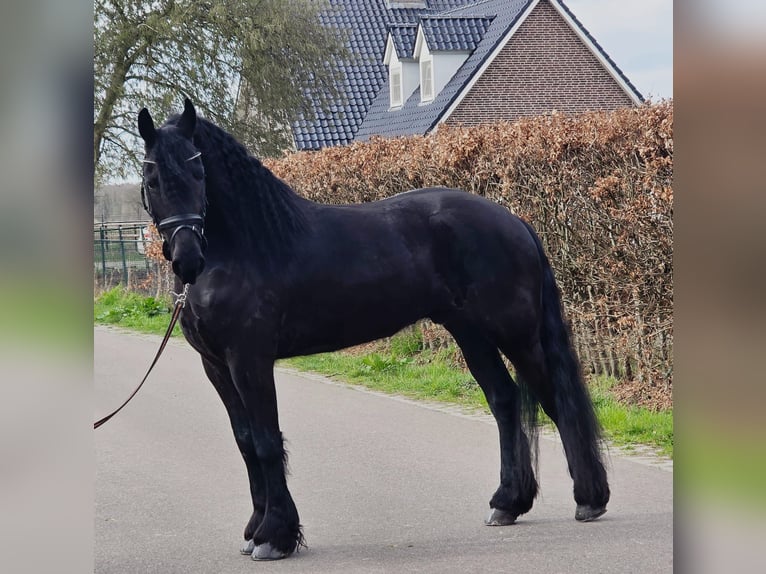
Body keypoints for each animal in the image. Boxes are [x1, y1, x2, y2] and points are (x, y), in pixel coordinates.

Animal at [136, 99, 609, 560]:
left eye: (199, 172)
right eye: (152, 178)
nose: (187, 258)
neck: (244, 248)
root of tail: (515, 221)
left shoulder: (249, 360)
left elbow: (268, 441)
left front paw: (275, 536)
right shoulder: (216, 365)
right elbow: (246, 442)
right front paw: (255, 530)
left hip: (517, 335)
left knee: (555, 400)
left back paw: (589, 499)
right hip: (470, 333)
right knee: (505, 401)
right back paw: (507, 503)